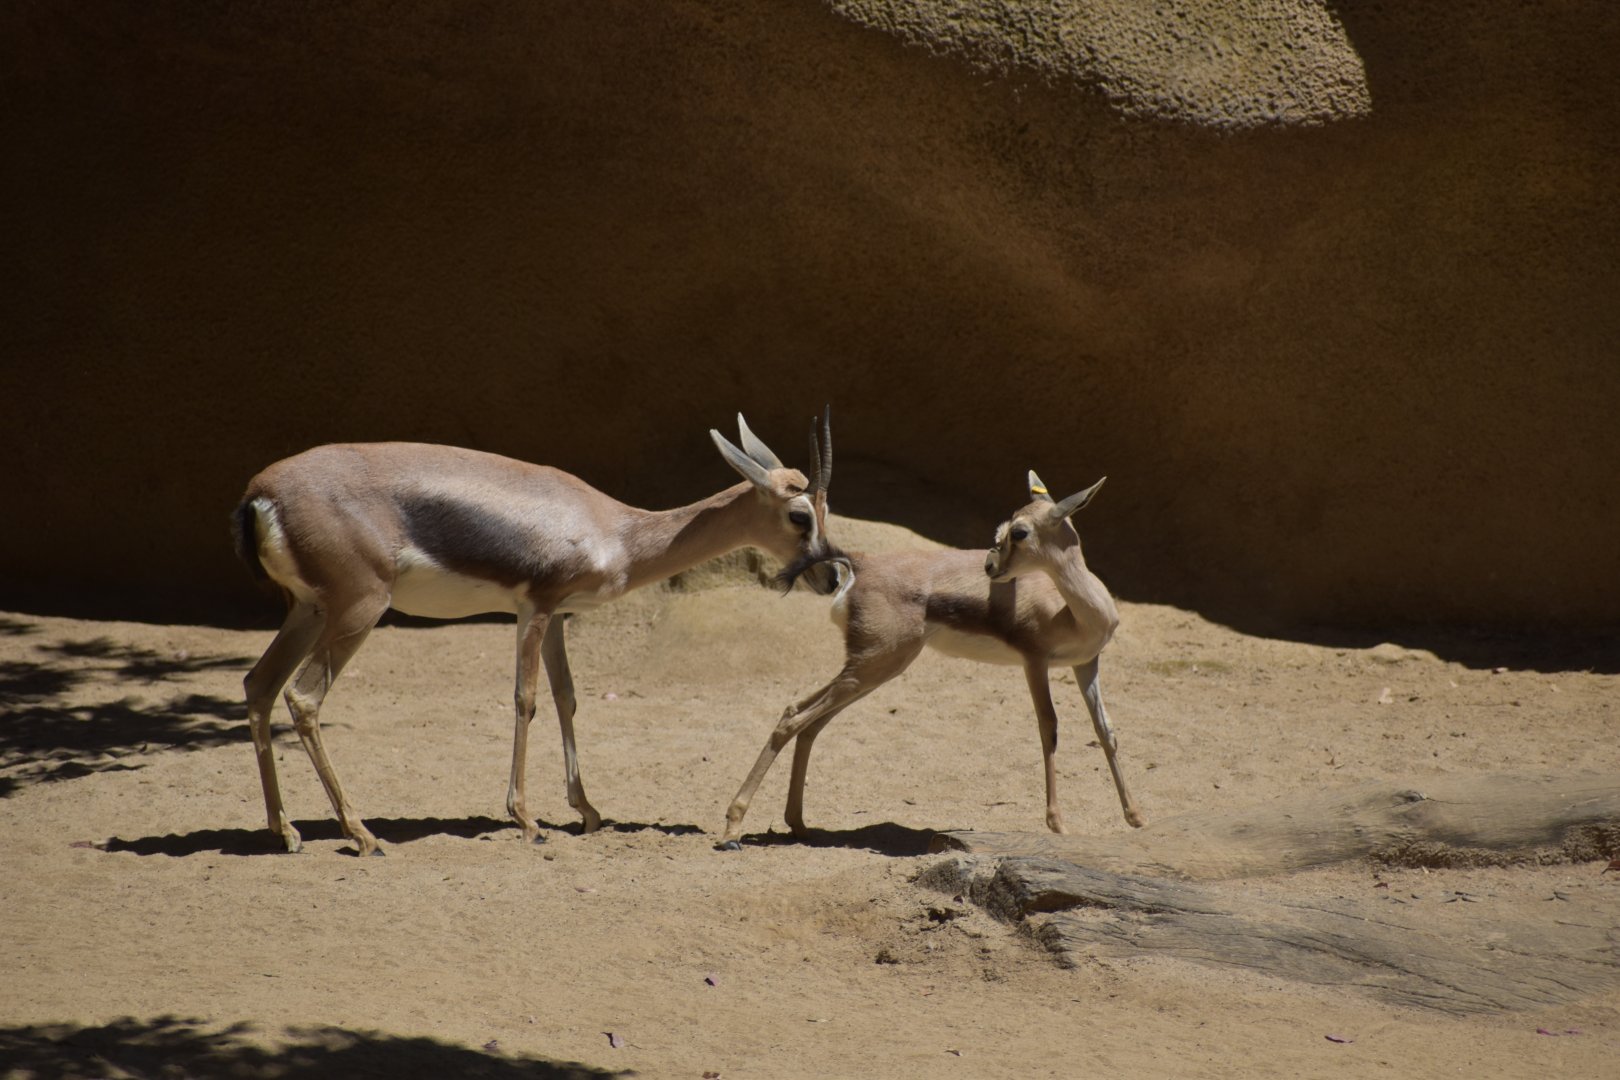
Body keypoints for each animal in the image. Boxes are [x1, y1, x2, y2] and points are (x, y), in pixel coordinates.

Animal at [233, 414, 838, 856]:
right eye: (800, 516)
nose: (831, 577)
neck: (614, 530)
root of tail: (260, 492)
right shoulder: (535, 608)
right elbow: (526, 699)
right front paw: (527, 820)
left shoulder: (558, 618)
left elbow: (567, 698)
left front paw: (587, 812)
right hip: (359, 610)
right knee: (303, 697)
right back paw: (362, 835)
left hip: (311, 610)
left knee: (258, 685)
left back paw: (285, 831)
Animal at [719, 471, 1142, 847]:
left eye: (1019, 532)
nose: (990, 567)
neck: (1073, 612)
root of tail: (861, 562)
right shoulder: (1034, 662)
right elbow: (1049, 728)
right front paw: (1058, 824)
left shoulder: (1086, 663)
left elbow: (1106, 731)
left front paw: (1135, 817)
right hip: (873, 666)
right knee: (793, 721)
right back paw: (732, 829)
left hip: (873, 669)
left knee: (804, 720)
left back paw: (798, 825)